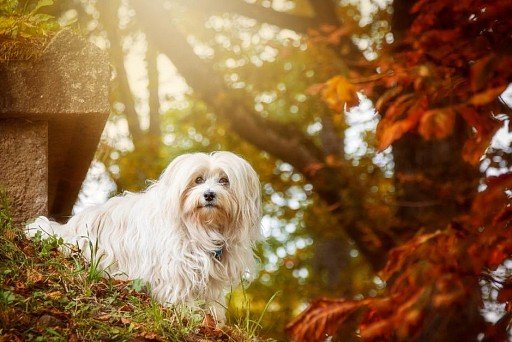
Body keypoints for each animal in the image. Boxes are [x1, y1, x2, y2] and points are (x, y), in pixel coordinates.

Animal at [26, 152, 262, 320]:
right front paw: (187, 311)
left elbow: (210, 296)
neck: (202, 228)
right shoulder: (176, 265)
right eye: (198, 180)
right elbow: (180, 289)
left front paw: (212, 316)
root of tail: (67, 229)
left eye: (224, 180)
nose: (209, 194)